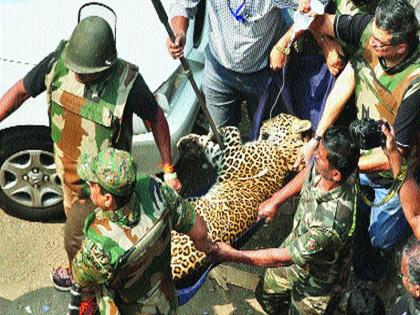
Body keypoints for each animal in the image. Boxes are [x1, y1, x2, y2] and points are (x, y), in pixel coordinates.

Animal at [169, 113, 310, 288]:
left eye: (278, 117)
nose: (263, 122)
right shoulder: (224, 157)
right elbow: (213, 145)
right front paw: (192, 140)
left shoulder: (233, 156)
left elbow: (232, 129)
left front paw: (210, 132)